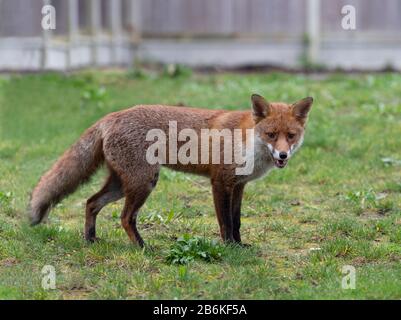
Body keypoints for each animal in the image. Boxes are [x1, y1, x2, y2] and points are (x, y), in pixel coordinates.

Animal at [30, 94, 312, 246]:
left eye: (290, 135)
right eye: (271, 134)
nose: (283, 155)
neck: (248, 141)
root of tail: (113, 115)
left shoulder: (239, 185)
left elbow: (237, 221)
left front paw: (241, 246)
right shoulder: (220, 182)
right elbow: (226, 222)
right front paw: (230, 249)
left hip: (121, 184)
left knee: (90, 202)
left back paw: (90, 240)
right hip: (144, 182)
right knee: (125, 217)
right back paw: (143, 247)